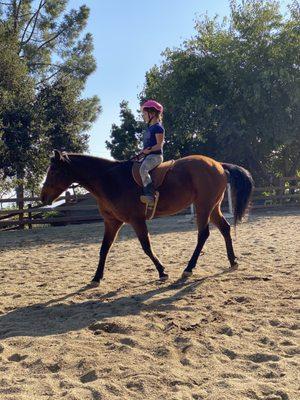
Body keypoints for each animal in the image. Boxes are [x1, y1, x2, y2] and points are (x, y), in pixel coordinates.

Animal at [40, 150, 253, 284]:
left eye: (54, 171)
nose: (43, 197)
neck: (110, 180)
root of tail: (218, 164)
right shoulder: (111, 222)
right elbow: (104, 249)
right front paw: (96, 277)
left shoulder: (136, 220)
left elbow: (146, 247)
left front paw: (162, 271)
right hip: (212, 207)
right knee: (225, 228)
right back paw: (232, 261)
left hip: (203, 207)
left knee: (203, 234)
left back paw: (189, 268)